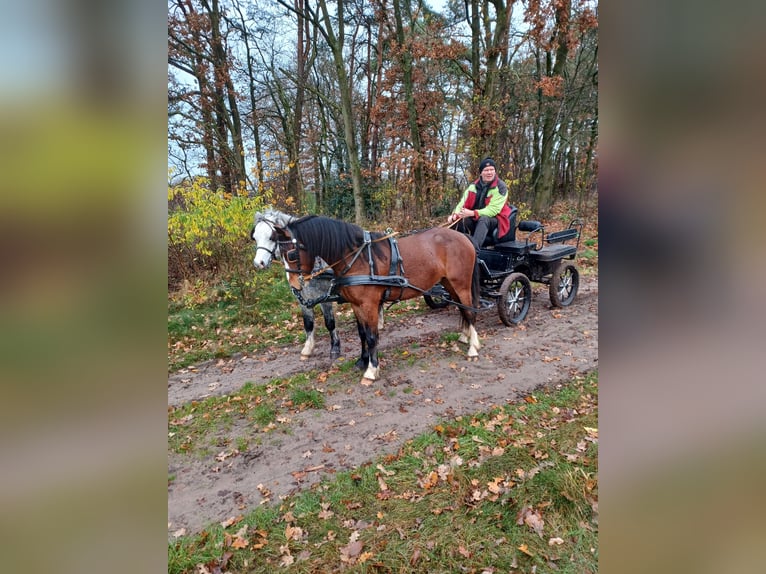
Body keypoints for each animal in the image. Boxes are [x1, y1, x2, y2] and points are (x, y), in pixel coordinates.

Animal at [274, 215, 480, 382]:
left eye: (291, 254)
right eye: (279, 254)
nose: (294, 286)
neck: (358, 258)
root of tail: (463, 236)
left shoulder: (369, 304)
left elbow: (372, 336)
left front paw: (372, 370)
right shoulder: (357, 305)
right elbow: (363, 334)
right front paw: (362, 361)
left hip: (461, 284)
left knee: (469, 312)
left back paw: (473, 347)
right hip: (449, 284)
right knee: (462, 309)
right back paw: (465, 335)